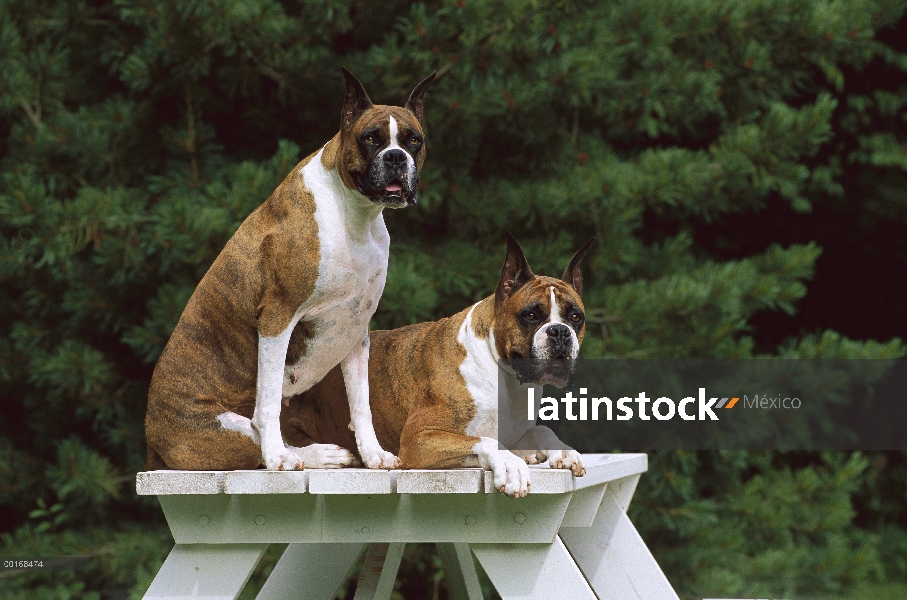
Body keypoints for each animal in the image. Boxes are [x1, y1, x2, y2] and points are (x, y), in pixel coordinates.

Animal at [145, 68, 436, 472]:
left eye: (413, 140)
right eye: (370, 139)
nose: (395, 157)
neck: (355, 214)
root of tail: (151, 436)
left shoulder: (356, 328)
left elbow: (360, 405)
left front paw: (374, 454)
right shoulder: (277, 317)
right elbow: (267, 404)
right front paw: (277, 459)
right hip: (224, 430)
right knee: (257, 434)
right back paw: (299, 455)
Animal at [284, 234, 596, 496]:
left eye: (575, 317)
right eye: (530, 315)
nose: (559, 332)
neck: (504, 376)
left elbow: (540, 431)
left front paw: (561, 451)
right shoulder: (418, 440)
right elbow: (484, 440)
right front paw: (511, 465)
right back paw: (325, 454)